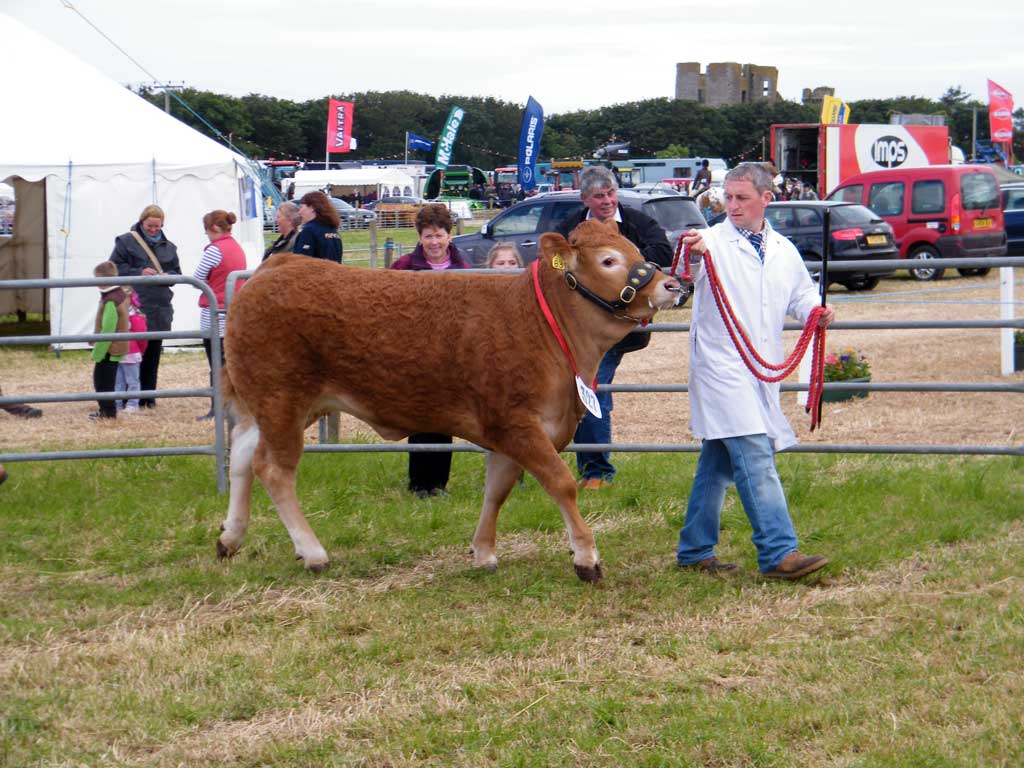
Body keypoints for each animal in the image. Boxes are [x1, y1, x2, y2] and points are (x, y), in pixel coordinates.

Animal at [221, 221, 692, 581]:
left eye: (634, 249)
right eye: (609, 260)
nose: (675, 284)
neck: (538, 323)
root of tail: (278, 265)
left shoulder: (508, 432)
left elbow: (496, 491)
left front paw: (483, 553)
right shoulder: (518, 424)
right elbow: (561, 483)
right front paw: (586, 557)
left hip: (278, 405)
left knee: (241, 452)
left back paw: (230, 537)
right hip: (282, 399)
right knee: (273, 469)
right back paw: (313, 552)